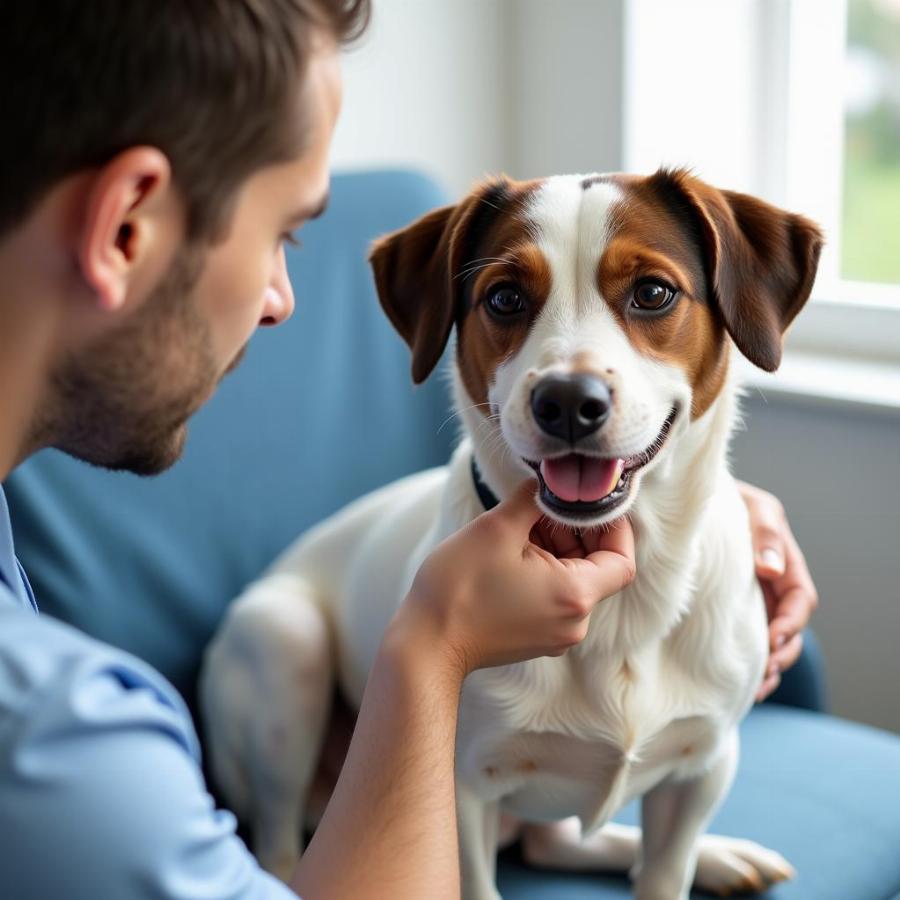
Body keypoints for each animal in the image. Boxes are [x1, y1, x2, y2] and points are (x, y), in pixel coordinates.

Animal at [202, 165, 824, 896]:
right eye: (504, 297)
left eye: (653, 292)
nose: (569, 402)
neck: (623, 599)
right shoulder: (459, 791)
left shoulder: (702, 767)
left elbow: (662, 869)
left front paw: (694, 858)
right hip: (285, 647)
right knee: (277, 849)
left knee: (559, 844)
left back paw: (720, 855)